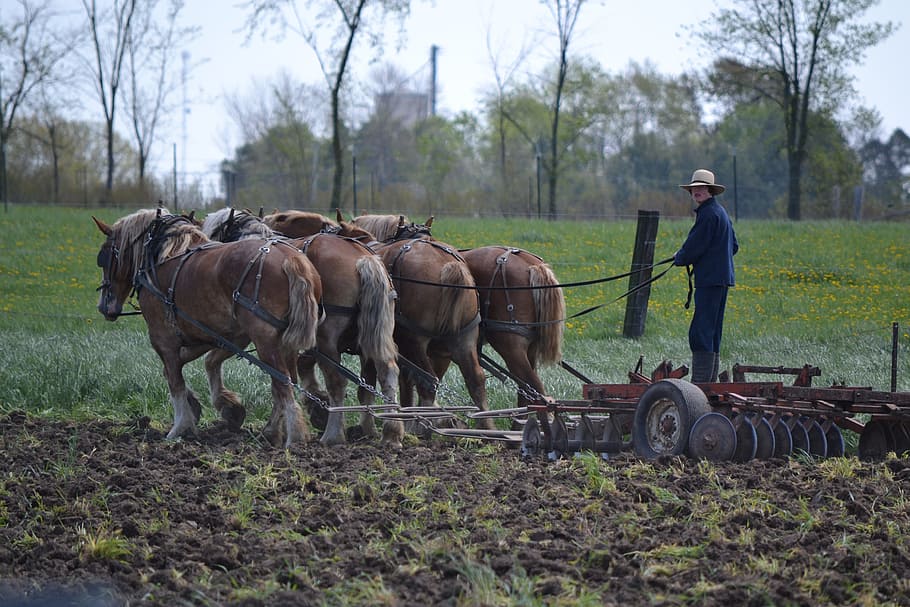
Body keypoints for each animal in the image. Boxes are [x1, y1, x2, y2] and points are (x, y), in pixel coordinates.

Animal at [95, 209, 324, 452]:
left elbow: (175, 382)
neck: (162, 258)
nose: (104, 307)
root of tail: (292, 259)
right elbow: (198, 364)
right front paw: (223, 407)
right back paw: (277, 431)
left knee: (283, 383)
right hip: (285, 342)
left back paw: (294, 437)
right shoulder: (221, 336)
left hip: (265, 340)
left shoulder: (163, 339)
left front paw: (179, 428)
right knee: (286, 382)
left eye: (104, 257)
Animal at [203, 208, 402, 446]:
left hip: (326, 339)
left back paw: (333, 435)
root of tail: (364, 258)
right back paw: (389, 432)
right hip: (376, 335)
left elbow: (277, 380)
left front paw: (271, 428)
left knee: (337, 381)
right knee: (387, 372)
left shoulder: (253, 334)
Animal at [272, 209, 498, 432]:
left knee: (427, 381)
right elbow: (375, 385)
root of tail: (449, 265)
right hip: (463, 338)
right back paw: (485, 426)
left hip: (414, 341)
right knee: (474, 379)